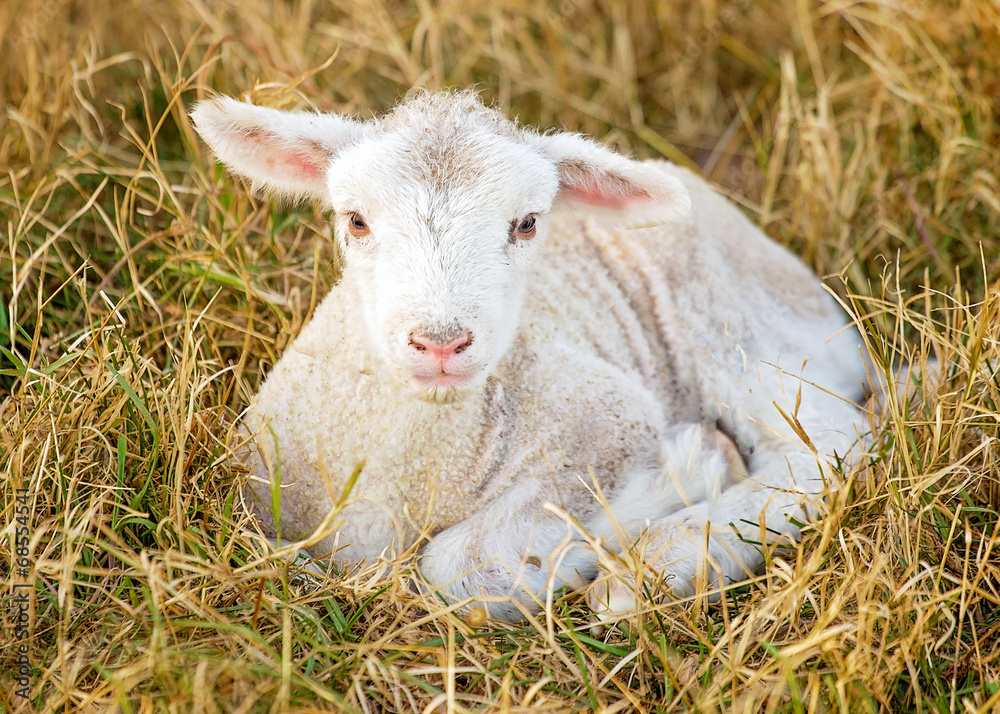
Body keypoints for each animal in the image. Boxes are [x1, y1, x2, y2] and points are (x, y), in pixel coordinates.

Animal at [191, 90, 869, 622]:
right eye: (355, 220)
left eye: (528, 224)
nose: (441, 342)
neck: (421, 474)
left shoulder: (609, 415)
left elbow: (455, 569)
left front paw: (681, 473)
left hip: (730, 327)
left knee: (827, 447)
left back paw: (655, 565)